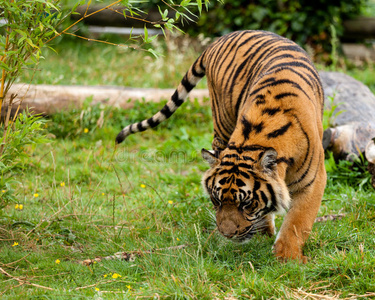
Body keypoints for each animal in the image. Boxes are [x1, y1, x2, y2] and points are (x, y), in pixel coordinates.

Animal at [116, 30, 328, 262]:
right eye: (216, 200)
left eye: (246, 204)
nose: (227, 234)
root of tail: (221, 38)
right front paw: (267, 238)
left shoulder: (313, 181)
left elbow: (298, 222)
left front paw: (287, 257)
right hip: (221, 119)